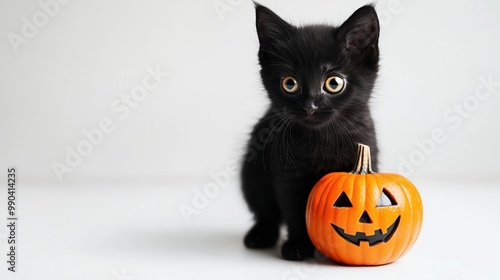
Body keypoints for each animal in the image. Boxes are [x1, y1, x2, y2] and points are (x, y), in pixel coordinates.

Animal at [242, 3, 378, 260]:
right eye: (290, 83)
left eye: (333, 83)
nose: (310, 106)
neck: (323, 138)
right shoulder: (288, 175)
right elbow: (295, 212)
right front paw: (298, 246)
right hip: (252, 172)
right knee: (265, 212)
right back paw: (260, 235)